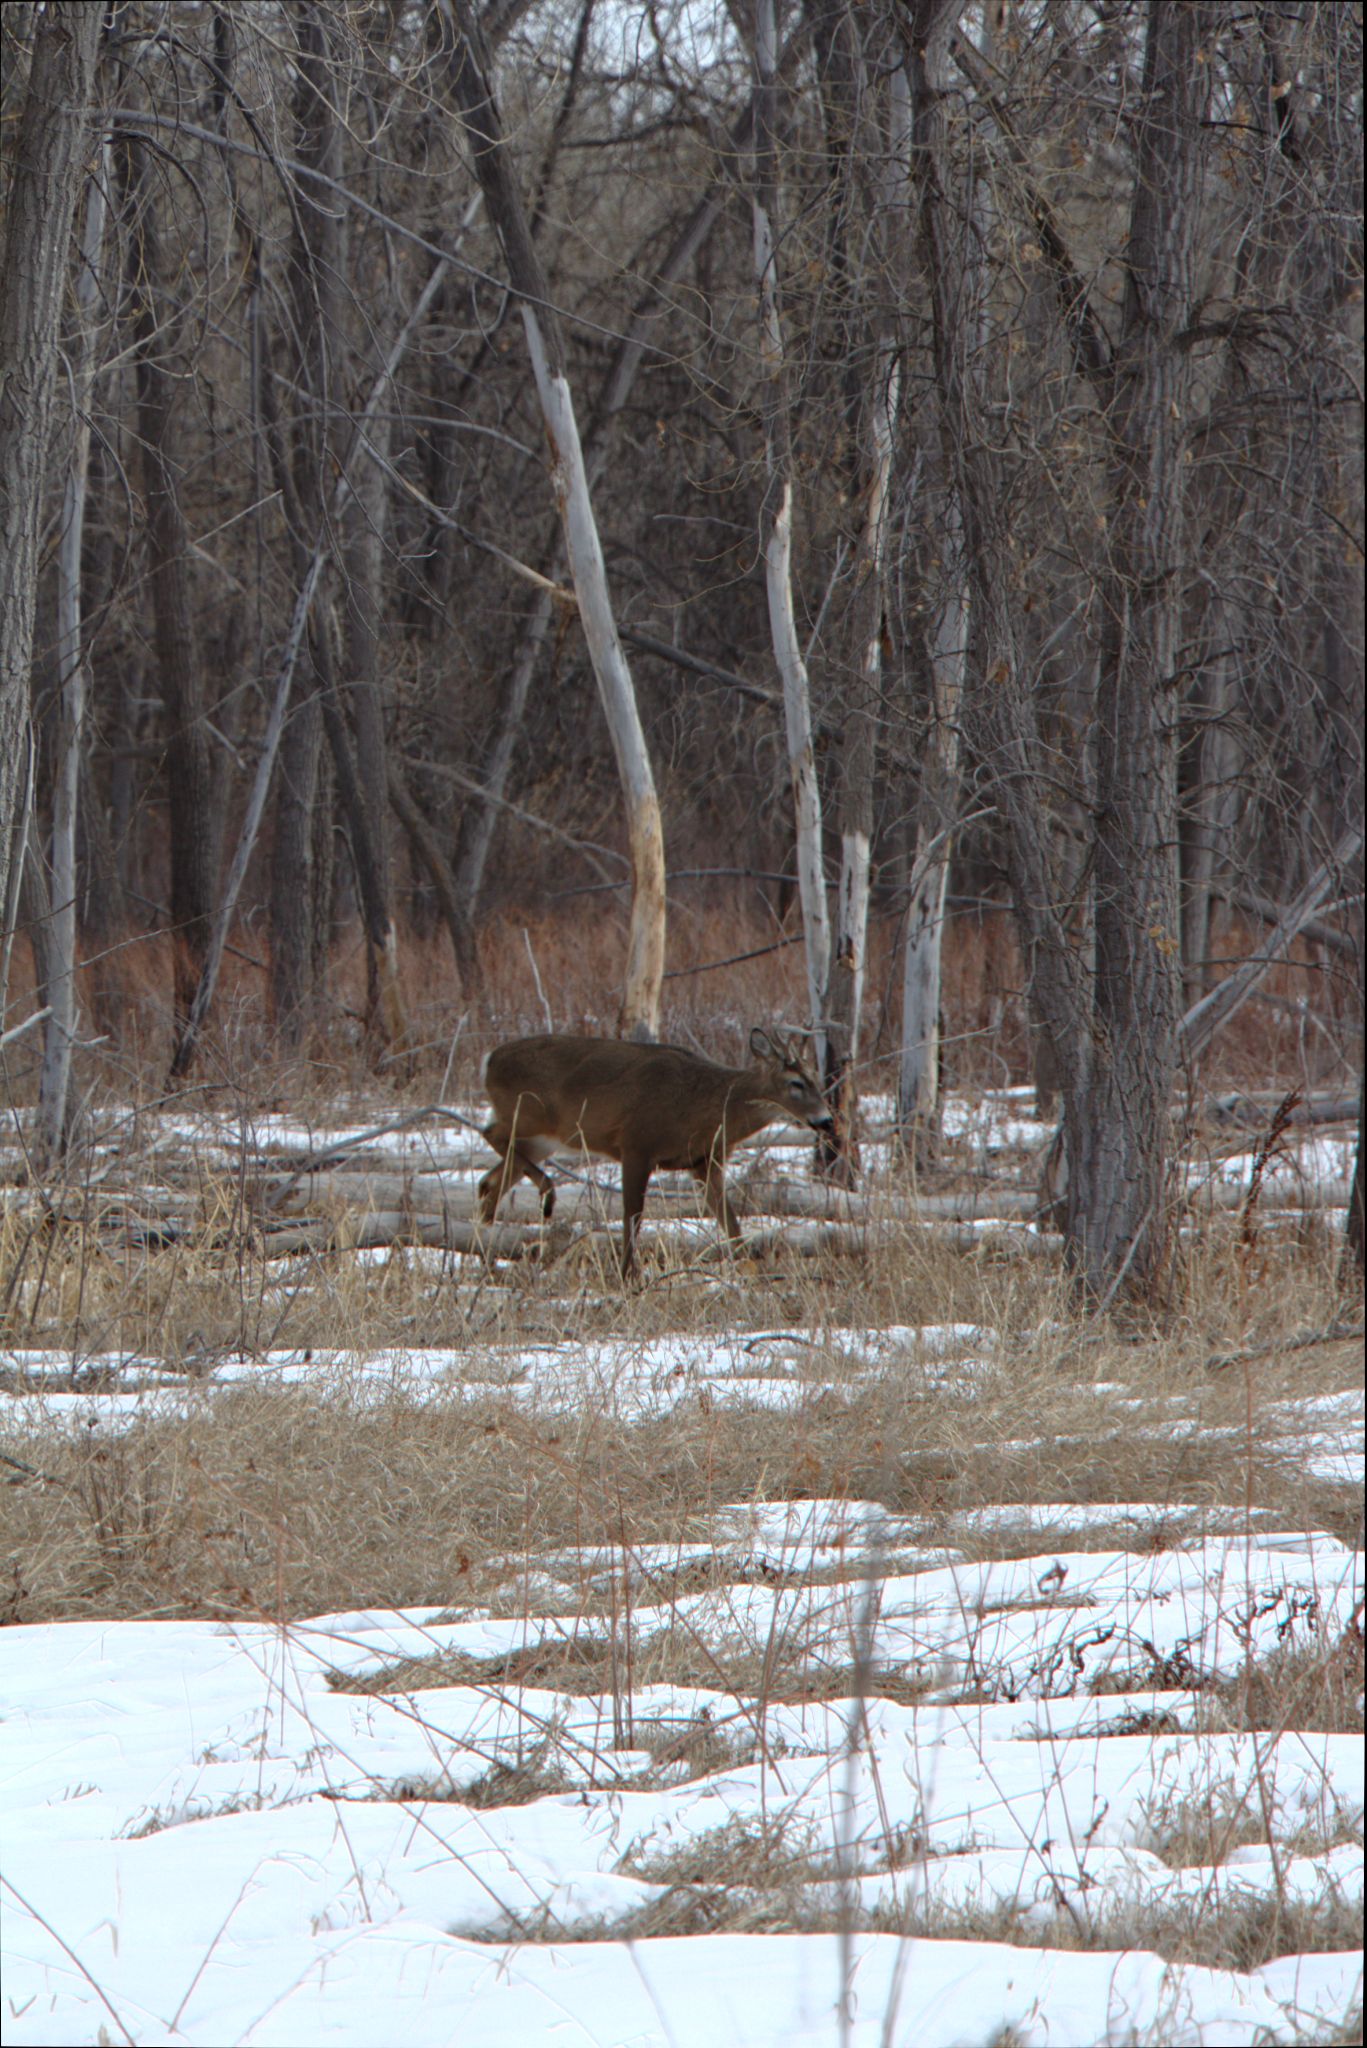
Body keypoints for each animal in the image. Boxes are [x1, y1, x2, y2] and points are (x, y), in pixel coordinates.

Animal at [475, 1032, 836, 1269]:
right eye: (795, 1083)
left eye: (816, 1079)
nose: (826, 1120)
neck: (705, 1108)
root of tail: (488, 1060)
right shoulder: (636, 1144)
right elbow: (632, 1218)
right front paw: (627, 1277)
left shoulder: (706, 1162)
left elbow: (732, 1225)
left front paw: (752, 1274)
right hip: (529, 1113)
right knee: (490, 1133)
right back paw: (546, 1192)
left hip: (543, 1139)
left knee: (490, 1180)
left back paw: (487, 1256)